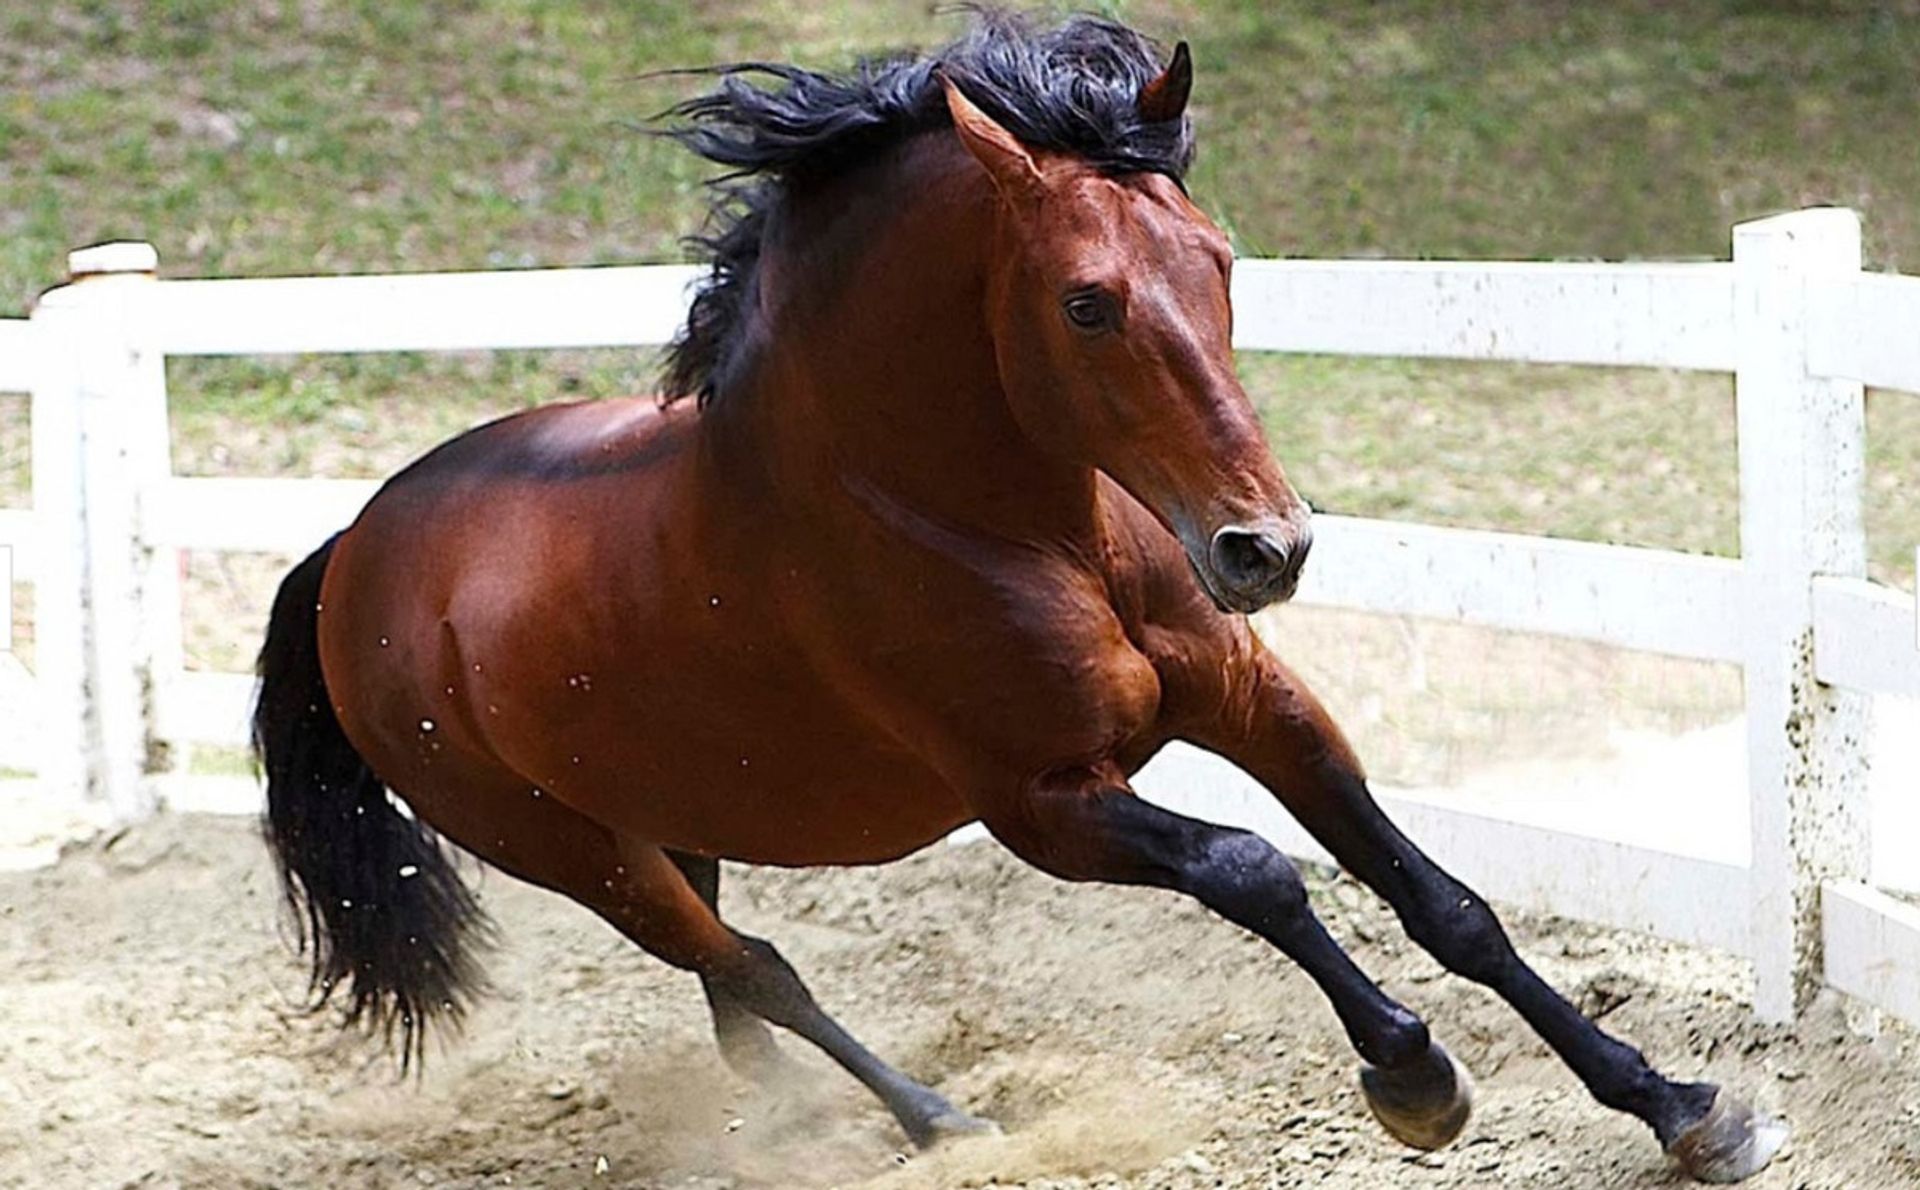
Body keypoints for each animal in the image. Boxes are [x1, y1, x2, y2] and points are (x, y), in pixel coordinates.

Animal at [251, 16, 1781, 1182]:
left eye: (1219, 260)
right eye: (1087, 303)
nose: (1264, 550)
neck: (1007, 527)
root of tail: (355, 549)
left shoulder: (1257, 699)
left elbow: (1444, 900)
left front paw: (1685, 1107)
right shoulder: (1040, 802)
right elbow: (1257, 869)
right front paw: (1412, 1078)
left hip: (669, 812)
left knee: (734, 991)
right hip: (575, 852)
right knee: (757, 965)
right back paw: (941, 1119)